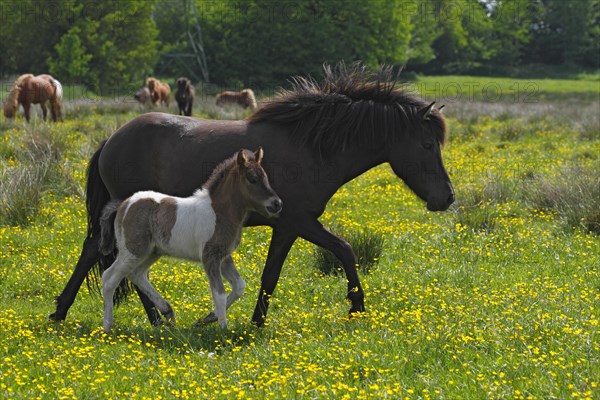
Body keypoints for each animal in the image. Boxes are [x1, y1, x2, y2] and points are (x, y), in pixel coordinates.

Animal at [99, 148, 282, 332]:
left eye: (265, 177)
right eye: (252, 179)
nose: (277, 204)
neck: (219, 212)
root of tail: (123, 204)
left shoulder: (224, 257)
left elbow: (239, 286)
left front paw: (207, 319)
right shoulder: (210, 257)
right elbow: (219, 293)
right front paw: (223, 330)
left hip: (152, 252)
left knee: (136, 274)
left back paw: (168, 312)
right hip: (132, 251)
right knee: (109, 278)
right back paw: (107, 327)